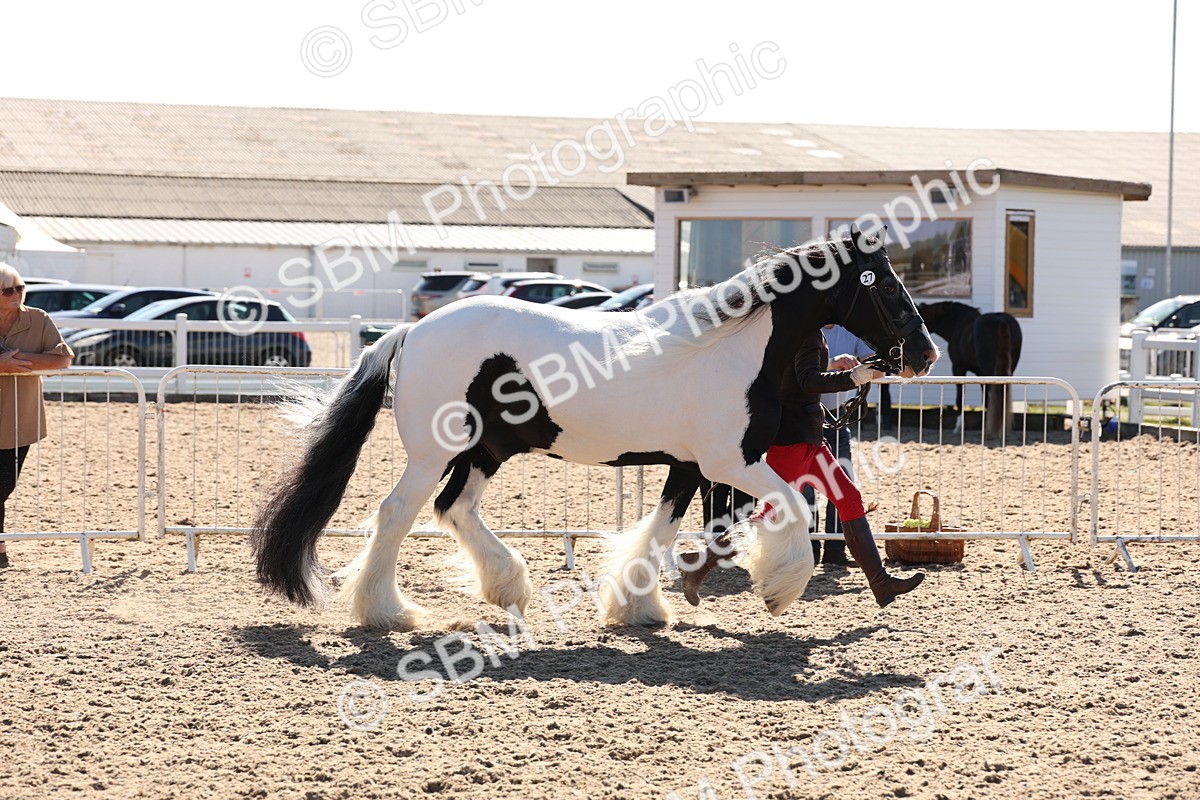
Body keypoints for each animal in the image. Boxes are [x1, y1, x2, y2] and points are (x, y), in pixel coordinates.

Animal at [250, 228, 939, 630]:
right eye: (883, 283)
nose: (926, 353)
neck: (733, 349)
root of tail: (411, 331)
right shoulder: (730, 462)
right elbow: (793, 505)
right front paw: (778, 588)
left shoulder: (689, 465)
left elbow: (661, 529)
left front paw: (640, 606)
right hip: (434, 452)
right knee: (398, 514)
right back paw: (386, 612)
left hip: (486, 450)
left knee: (455, 509)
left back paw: (506, 587)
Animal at [915, 301, 1023, 438]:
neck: (958, 323)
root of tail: (1000, 320)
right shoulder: (979, 373)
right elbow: (984, 399)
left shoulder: (958, 368)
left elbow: (960, 398)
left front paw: (959, 426)